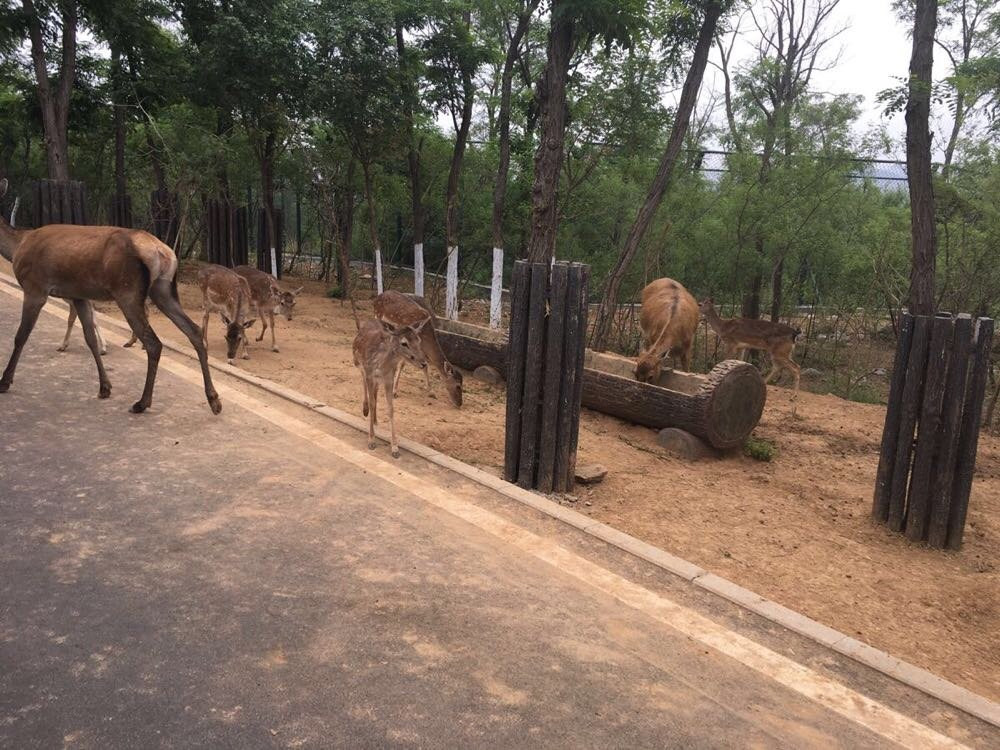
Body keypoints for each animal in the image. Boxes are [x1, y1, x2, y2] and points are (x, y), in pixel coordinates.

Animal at [0, 180, 221, 418]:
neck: (17, 247)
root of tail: (162, 252)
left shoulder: (35, 287)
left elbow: (21, 335)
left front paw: (5, 381)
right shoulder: (78, 295)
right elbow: (89, 338)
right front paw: (104, 387)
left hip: (127, 291)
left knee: (153, 343)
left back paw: (142, 402)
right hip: (163, 290)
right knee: (194, 331)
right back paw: (214, 400)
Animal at [354, 318, 428, 458]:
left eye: (419, 340)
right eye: (404, 343)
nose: (424, 363)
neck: (382, 365)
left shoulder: (389, 379)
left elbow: (391, 408)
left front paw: (395, 448)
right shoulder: (369, 373)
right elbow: (372, 402)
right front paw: (371, 440)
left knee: (375, 392)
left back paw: (375, 420)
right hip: (357, 363)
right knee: (363, 382)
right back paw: (365, 410)